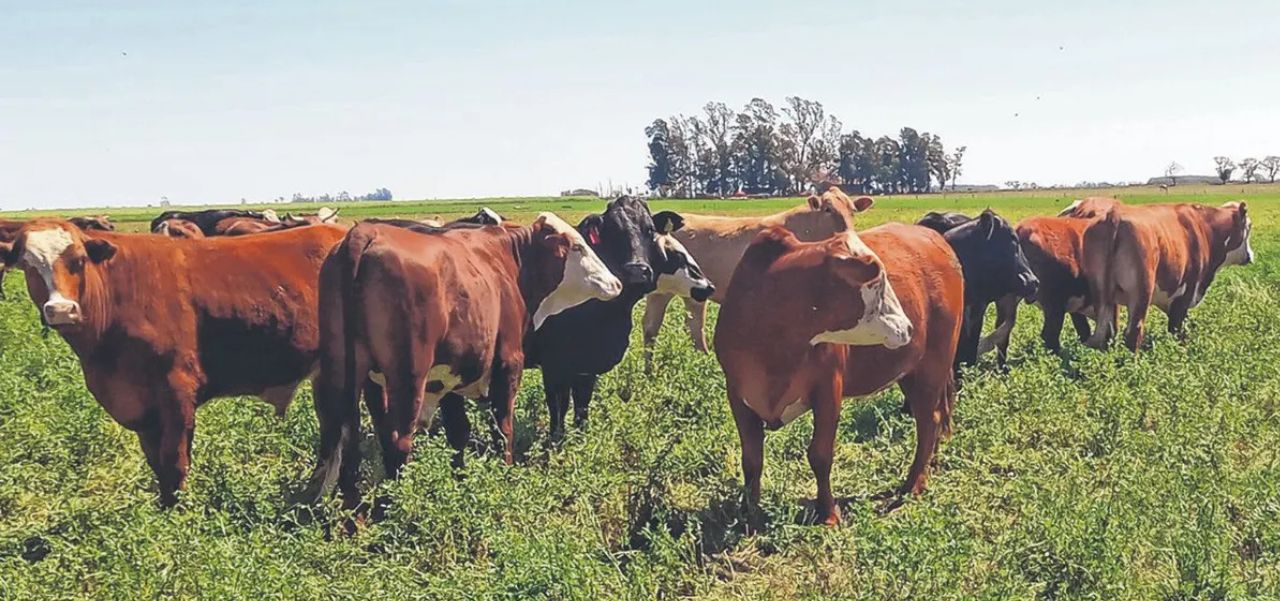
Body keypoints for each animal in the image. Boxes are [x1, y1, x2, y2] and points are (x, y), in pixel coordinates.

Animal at [0, 221, 348, 506]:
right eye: (28, 266)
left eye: (79, 260)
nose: (61, 310)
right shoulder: (140, 406)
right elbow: (158, 465)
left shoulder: (177, 390)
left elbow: (175, 462)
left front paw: (179, 516)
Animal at [312, 213, 627, 503]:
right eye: (578, 246)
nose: (615, 283)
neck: (510, 263)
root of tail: (365, 233)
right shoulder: (509, 363)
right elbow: (503, 429)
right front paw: (505, 475)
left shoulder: (449, 378)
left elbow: (458, 432)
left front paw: (460, 478)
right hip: (408, 375)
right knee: (399, 441)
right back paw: (400, 504)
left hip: (361, 378)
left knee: (358, 439)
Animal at [711, 222, 962, 524]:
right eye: (878, 282)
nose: (908, 327)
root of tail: (935, 237)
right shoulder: (737, 395)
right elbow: (751, 459)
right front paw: (750, 513)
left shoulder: (828, 388)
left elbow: (820, 455)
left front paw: (827, 514)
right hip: (911, 372)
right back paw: (930, 463)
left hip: (933, 366)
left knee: (929, 422)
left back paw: (914, 483)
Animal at [1080, 202, 1249, 352]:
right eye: (1249, 227)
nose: (1250, 256)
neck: (1203, 227)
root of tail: (1114, 215)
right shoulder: (1184, 295)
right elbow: (1177, 330)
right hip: (1141, 295)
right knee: (1134, 333)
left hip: (1103, 299)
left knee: (1106, 333)